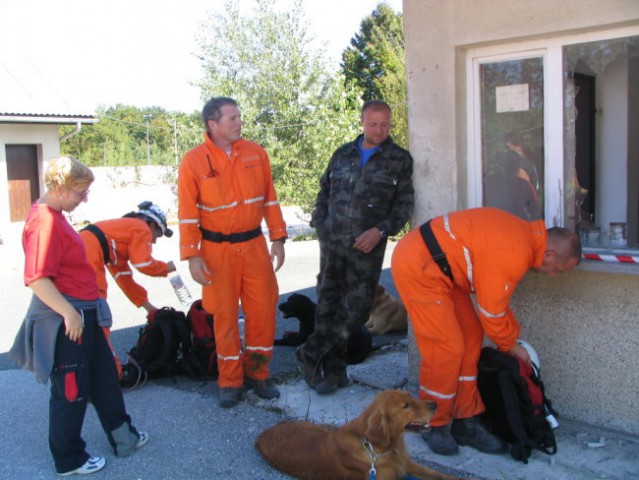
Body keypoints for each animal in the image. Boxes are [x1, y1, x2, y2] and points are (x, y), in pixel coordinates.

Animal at [258, 390, 462, 480]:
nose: (435, 404)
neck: (377, 448)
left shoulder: (406, 463)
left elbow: (438, 474)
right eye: (406, 406)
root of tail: (263, 434)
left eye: (410, 396)